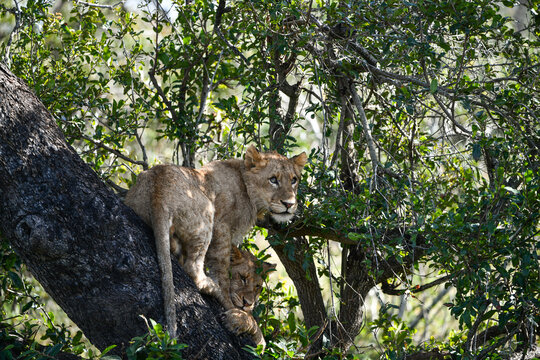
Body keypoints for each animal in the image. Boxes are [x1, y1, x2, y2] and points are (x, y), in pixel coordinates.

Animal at [124, 146, 306, 346]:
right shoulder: (222, 227)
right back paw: (212, 288)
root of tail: (158, 189)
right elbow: (223, 269)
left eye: (294, 180)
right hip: (207, 212)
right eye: (273, 179)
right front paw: (233, 306)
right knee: (193, 268)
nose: (289, 204)